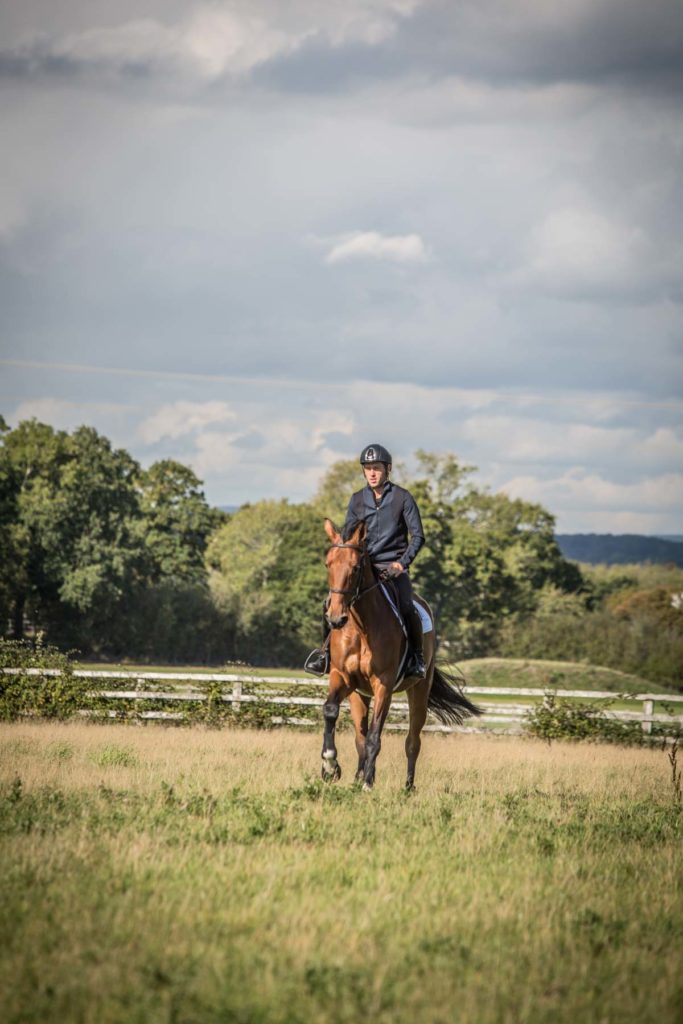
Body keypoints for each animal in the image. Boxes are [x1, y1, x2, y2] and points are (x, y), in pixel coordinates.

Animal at [319, 520, 481, 790]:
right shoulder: (341, 677)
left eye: (355, 567)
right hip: (359, 695)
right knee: (360, 738)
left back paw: (407, 786)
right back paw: (358, 777)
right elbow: (331, 711)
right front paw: (330, 766)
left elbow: (375, 737)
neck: (361, 627)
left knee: (412, 741)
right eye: (328, 564)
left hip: (418, 692)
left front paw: (368, 784)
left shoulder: (383, 685)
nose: (335, 618)